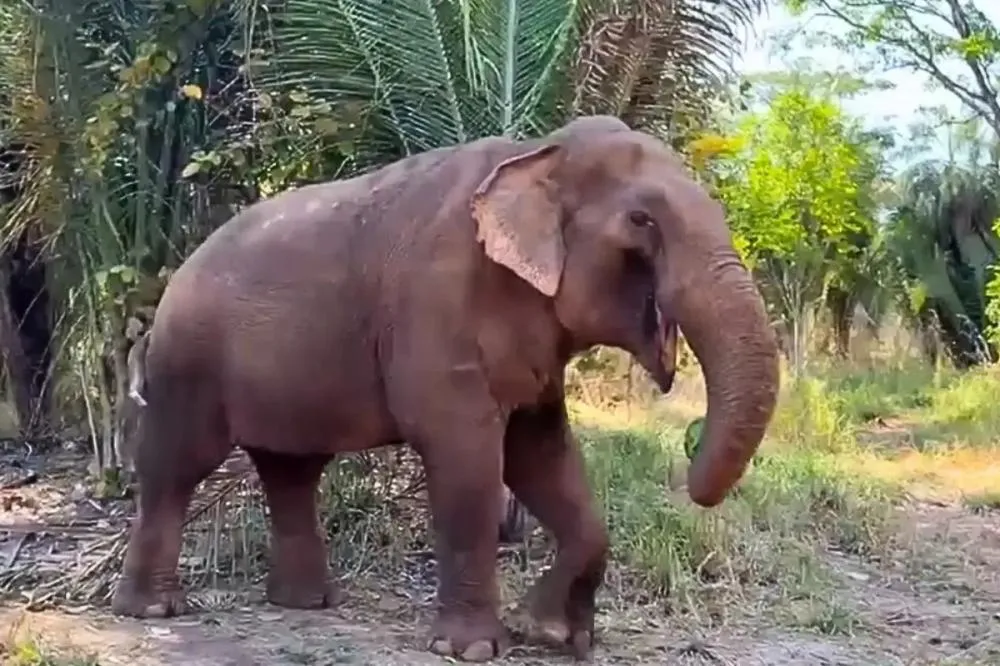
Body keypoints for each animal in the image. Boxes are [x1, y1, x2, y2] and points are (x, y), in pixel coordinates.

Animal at [110, 115, 780, 661]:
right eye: (642, 221)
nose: (691, 471)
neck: (536, 151)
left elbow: (541, 453)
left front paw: (552, 635)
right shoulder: (436, 306)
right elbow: (468, 458)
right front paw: (474, 649)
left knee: (291, 469)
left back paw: (307, 604)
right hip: (186, 362)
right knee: (176, 467)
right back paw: (151, 610)